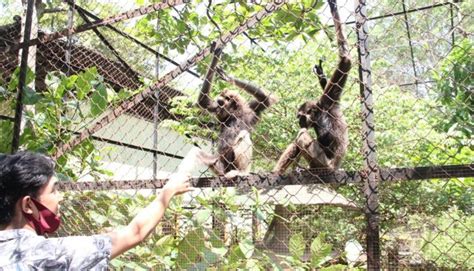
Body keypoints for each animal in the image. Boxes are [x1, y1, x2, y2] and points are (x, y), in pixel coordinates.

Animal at [196, 47, 278, 180]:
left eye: (224, 100)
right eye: (219, 101)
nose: (219, 102)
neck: (234, 115)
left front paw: (229, 77)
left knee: (243, 134)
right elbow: (203, 101)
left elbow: (266, 99)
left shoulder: (249, 112)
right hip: (221, 165)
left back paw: (242, 172)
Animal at [272, 0, 350, 174]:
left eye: (301, 117)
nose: (300, 122)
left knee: (301, 135)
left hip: (322, 164)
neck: (320, 114)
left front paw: (333, 7)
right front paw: (322, 76)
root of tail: (335, 166)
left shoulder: (327, 102)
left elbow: (345, 61)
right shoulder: (332, 102)